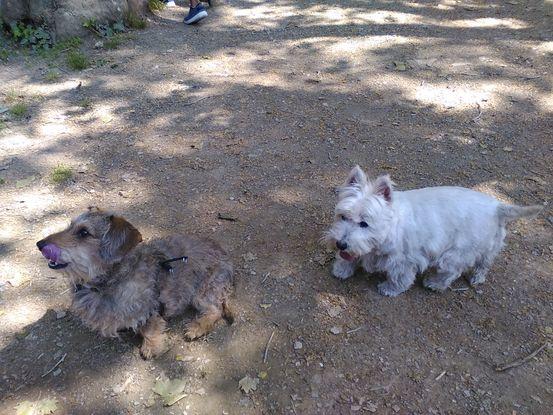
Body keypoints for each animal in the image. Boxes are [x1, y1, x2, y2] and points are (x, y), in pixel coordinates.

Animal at [322, 166, 540, 296]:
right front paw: (342, 269)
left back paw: (434, 283)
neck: (391, 225)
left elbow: (399, 277)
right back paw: (477, 277)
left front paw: (390, 289)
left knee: (452, 272)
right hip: (490, 244)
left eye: (364, 223)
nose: (340, 243)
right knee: (484, 262)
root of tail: (496, 207)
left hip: (455, 253)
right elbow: (351, 257)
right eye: (343, 217)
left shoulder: (404, 260)